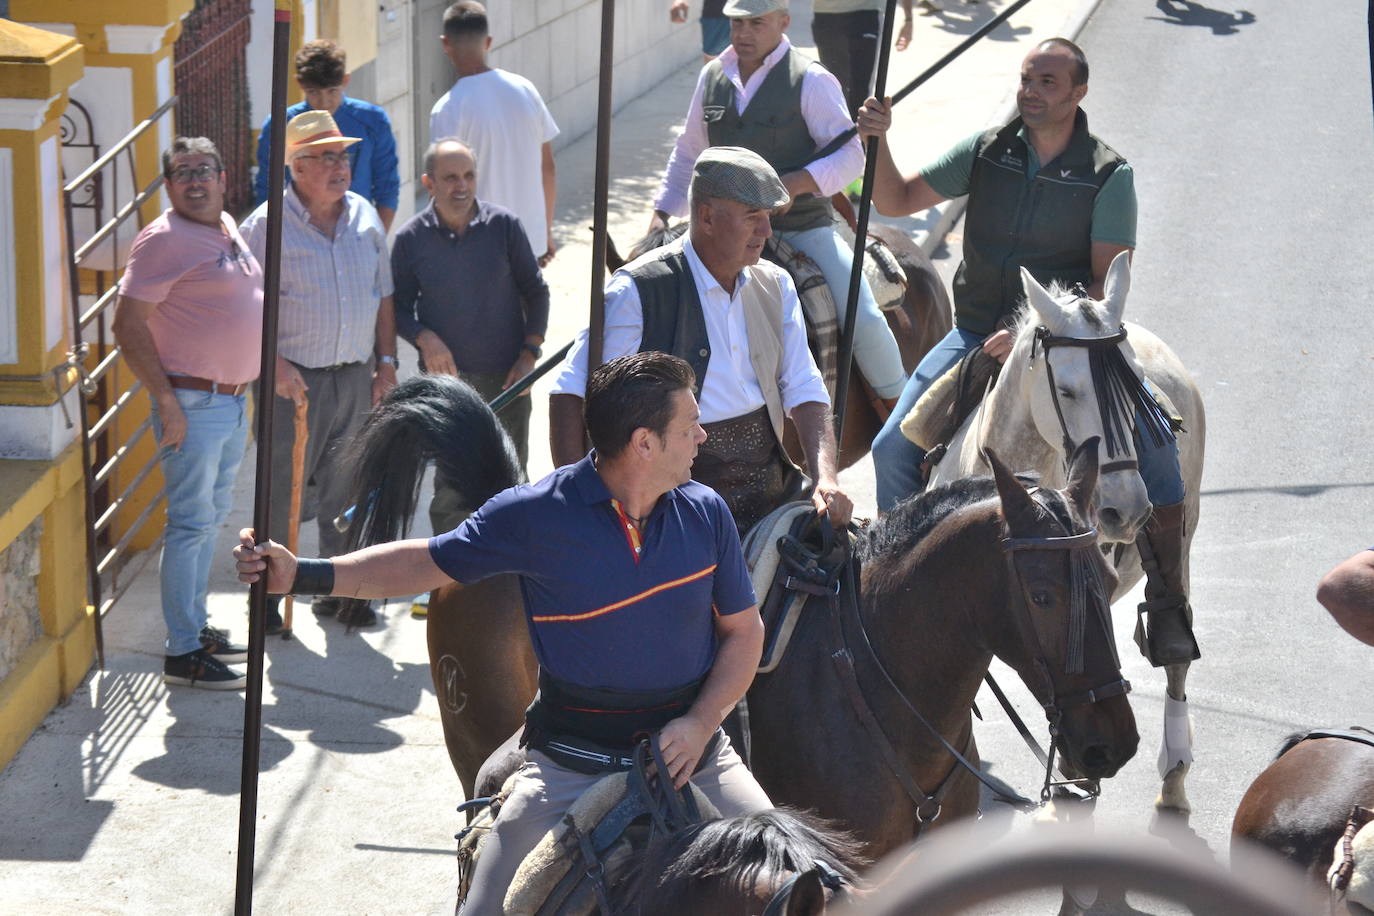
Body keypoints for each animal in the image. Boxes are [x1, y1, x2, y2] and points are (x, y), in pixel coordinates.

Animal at [346, 379, 1137, 862]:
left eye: (1105, 580)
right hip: (477, 749)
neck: (880, 687)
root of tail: (486, 515)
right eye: (1042, 595)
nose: (1111, 745)